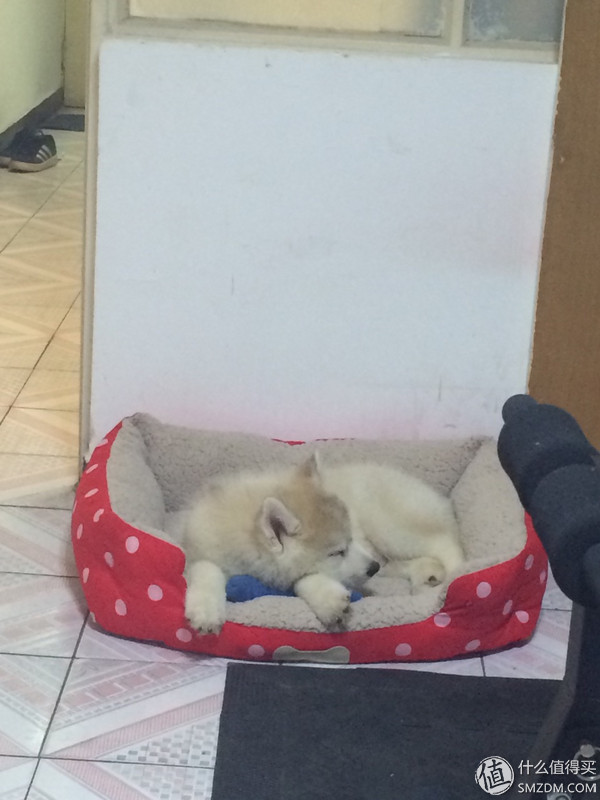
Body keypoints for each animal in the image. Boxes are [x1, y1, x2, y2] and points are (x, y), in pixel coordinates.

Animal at [183, 453, 464, 634]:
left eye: (351, 538)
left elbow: (305, 578)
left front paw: (327, 599)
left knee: (446, 546)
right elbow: (205, 568)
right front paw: (206, 609)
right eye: (337, 552)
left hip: (392, 528)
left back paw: (453, 578)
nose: (372, 567)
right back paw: (424, 577)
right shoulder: (195, 549)